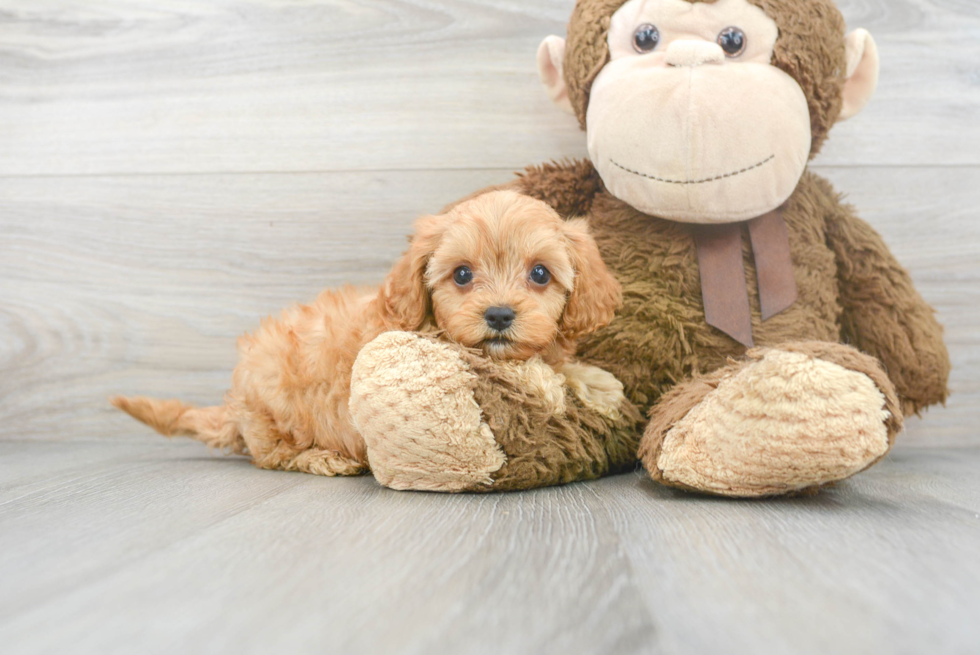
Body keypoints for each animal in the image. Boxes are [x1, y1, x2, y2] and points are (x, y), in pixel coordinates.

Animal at [113, 190, 620, 476]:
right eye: (461, 274)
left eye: (540, 274)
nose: (498, 315)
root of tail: (234, 408)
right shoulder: (434, 345)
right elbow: (512, 366)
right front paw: (549, 386)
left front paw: (593, 381)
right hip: (276, 406)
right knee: (274, 456)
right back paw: (325, 459)